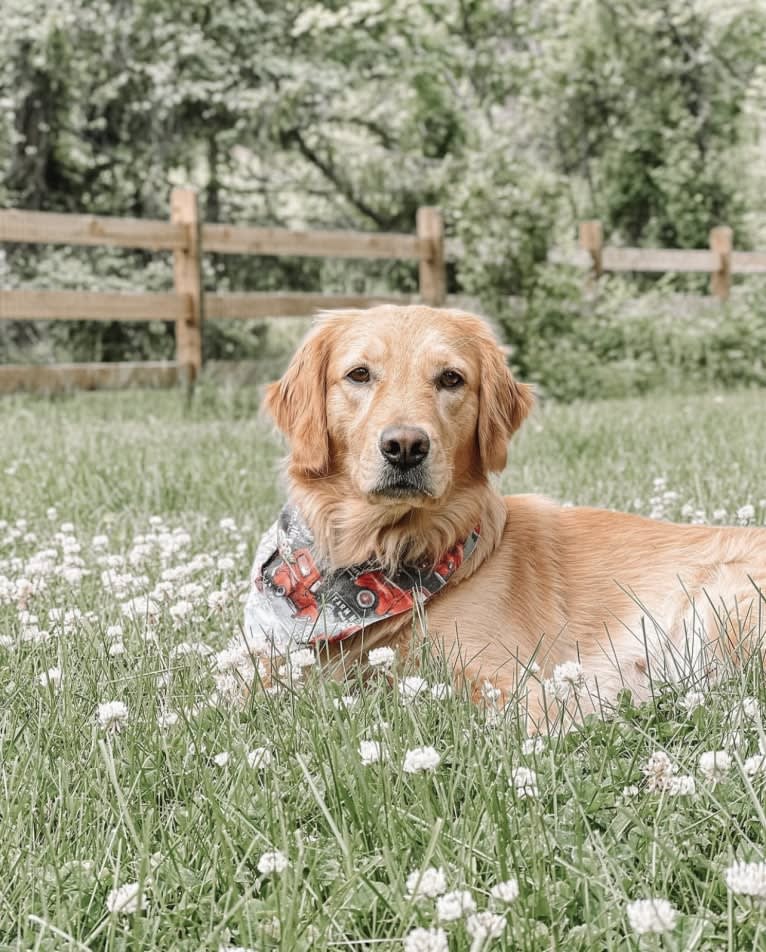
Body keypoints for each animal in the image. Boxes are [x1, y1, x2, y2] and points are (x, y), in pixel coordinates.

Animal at [254, 304, 766, 720]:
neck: (387, 552)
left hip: (716, 606)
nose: (405, 447)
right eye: (359, 374)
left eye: (451, 378)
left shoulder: (510, 675)